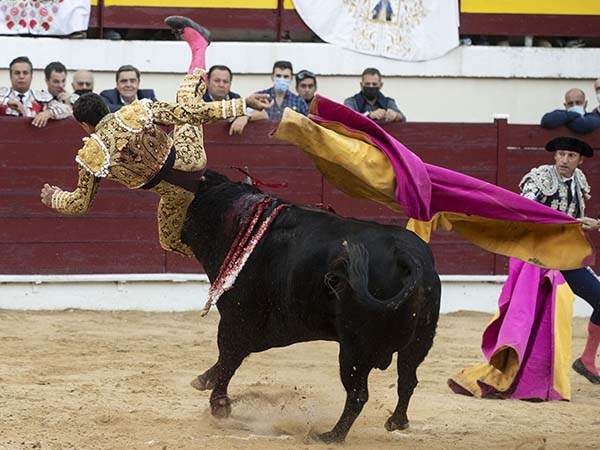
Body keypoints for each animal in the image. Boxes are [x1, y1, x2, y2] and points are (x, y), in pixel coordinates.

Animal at [182, 170, 441, 443]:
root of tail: (407, 256)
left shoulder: (238, 315)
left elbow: (229, 356)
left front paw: (218, 405)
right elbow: (232, 356)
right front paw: (206, 382)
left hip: (354, 348)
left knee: (358, 394)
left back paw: (331, 436)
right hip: (418, 342)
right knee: (408, 379)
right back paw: (396, 421)